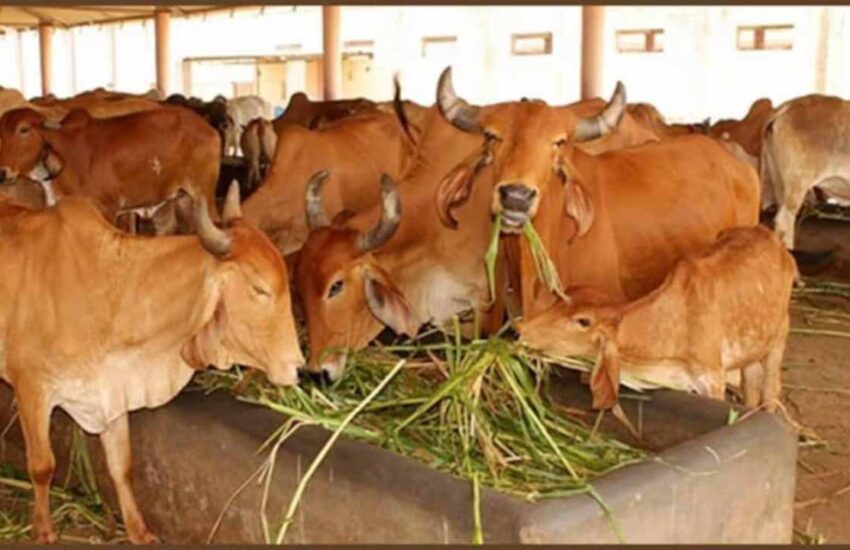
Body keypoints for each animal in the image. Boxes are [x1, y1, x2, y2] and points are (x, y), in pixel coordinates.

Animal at [0, 106, 220, 231]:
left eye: (24, 129)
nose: (2, 172)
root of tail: (209, 129)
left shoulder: (107, 209)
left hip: (204, 195)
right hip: (181, 199)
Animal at [0, 183, 303, 543]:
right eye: (259, 289)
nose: (298, 367)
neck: (109, 292)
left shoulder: (112, 391)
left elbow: (122, 467)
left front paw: (138, 530)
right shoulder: (32, 388)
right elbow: (42, 465)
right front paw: (44, 530)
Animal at [517, 225, 796, 412]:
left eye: (583, 321)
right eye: (559, 299)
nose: (520, 329)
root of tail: (776, 241)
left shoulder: (712, 380)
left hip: (779, 337)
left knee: (770, 390)